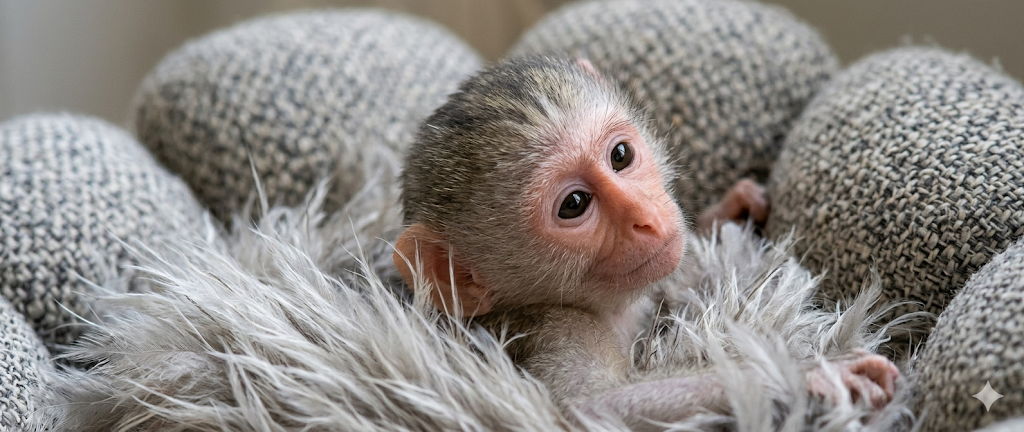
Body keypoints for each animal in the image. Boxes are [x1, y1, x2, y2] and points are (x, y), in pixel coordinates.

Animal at [392, 56, 898, 429]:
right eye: (574, 204)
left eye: (620, 155)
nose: (646, 220)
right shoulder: (555, 325)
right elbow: (591, 410)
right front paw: (806, 373)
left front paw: (726, 210)